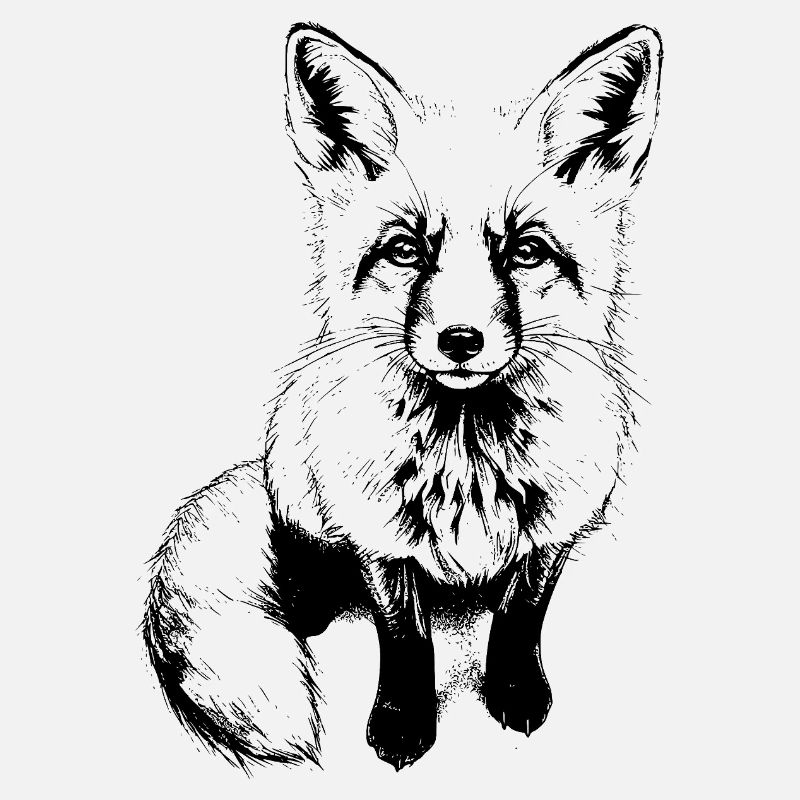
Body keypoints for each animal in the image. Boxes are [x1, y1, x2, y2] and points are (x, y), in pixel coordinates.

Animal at [143, 22, 662, 771]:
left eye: (526, 252)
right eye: (406, 250)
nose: (461, 340)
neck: (468, 461)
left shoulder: (554, 527)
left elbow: (519, 614)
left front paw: (514, 692)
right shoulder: (381, 536)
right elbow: (405, 637)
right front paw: (402, 723)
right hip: (298, 475)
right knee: (297, 544)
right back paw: (306, 597)